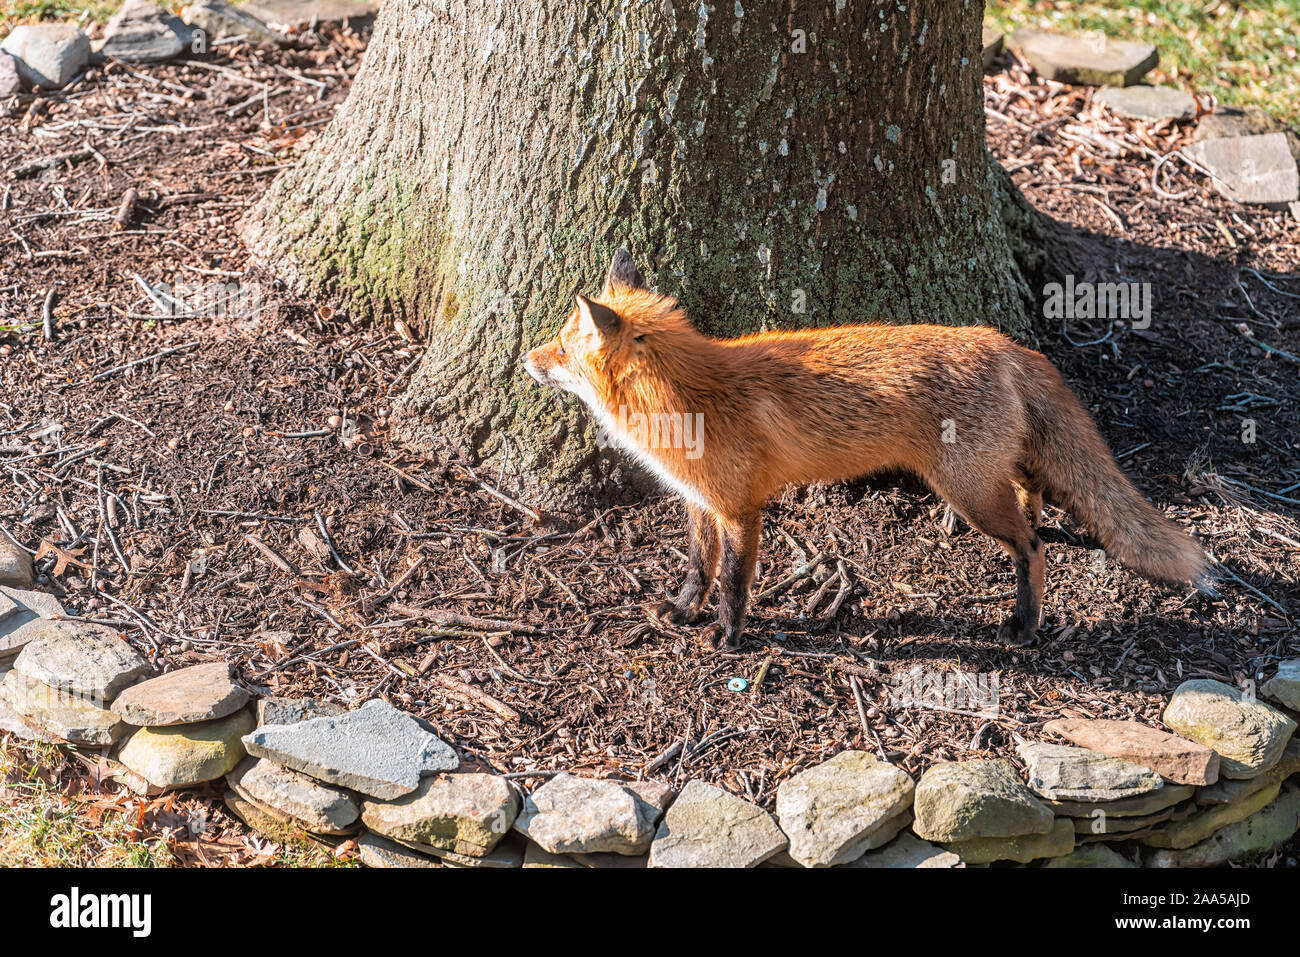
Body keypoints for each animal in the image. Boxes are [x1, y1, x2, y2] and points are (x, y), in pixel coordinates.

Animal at [524, 250, 1209, 652]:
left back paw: (1025, 623)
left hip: (970, 491)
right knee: (1032, 490)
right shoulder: (701, 503)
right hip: (992, 472)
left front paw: (728, 638)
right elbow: (699, 567)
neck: (686, 398)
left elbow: (735, 583)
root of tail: (1001, 342)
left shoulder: (742, 510)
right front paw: (683, 611)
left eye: (560, 345)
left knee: (1033, 548)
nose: (525, 359)